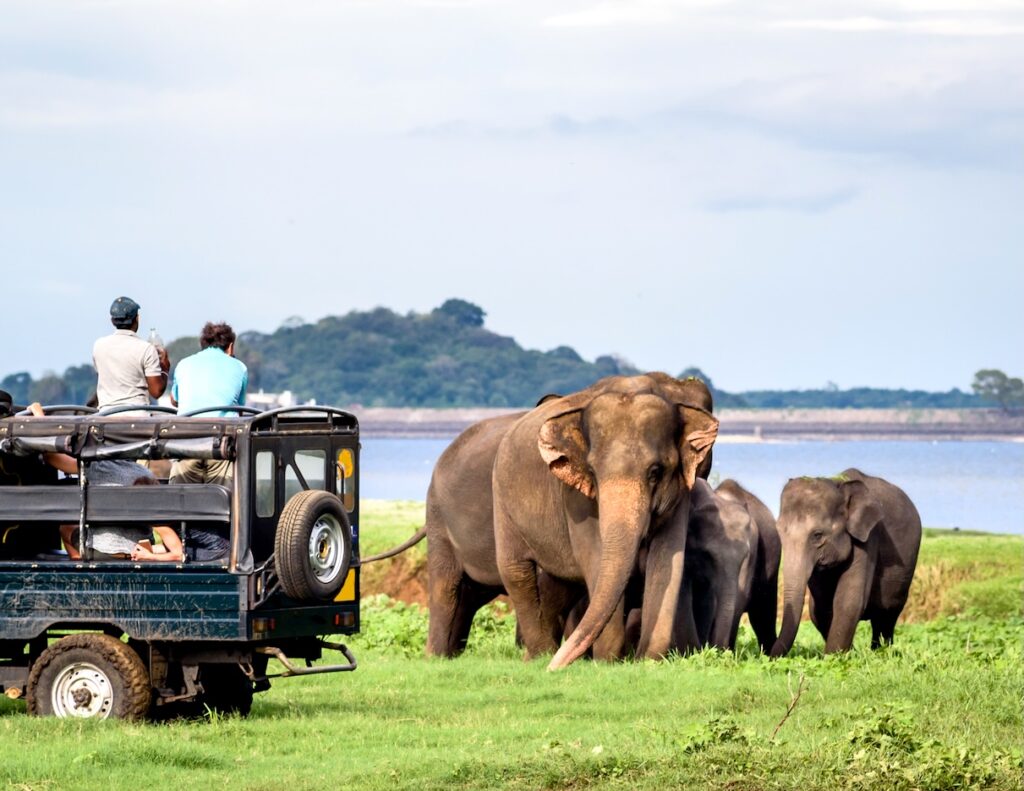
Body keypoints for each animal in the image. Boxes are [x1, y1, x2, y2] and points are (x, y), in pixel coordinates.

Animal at [492, 373, 718, 670]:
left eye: (655, 472)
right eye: (592, 471)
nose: (555, 668)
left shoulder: (680, 491)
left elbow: (668, 559)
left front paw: (647, 660)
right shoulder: (575, 497)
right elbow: (596, 559)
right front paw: (608, 662)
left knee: (557, 585)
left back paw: (540, 656)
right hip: (501, 501)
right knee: (516, 572)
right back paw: (540, 656)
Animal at [770, 468, 922, 657]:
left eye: (817, 535)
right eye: (779, 532)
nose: (767, 655)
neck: (838, 483)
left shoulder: (869, 536)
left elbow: (848, 600)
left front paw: (834, 658)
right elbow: (820, 608)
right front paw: (847, 654)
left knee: (887, 615)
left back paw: (880, 653)